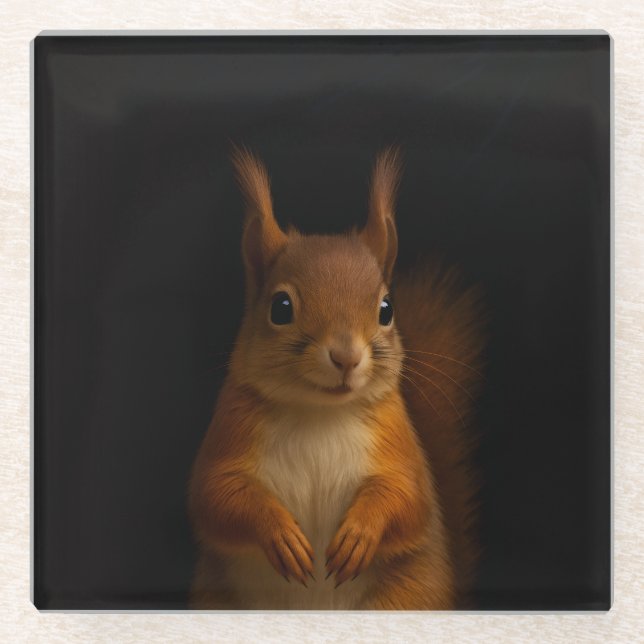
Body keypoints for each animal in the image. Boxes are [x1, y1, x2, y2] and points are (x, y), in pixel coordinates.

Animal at [187, 146, 485, 610]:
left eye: (386, 309)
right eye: (281, 308)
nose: (346, 357)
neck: (319, 413)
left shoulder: (397, 440)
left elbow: (407, 497)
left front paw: (360, 534)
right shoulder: (231, 430)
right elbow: (216, 495)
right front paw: (281, 534)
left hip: (404, 597)